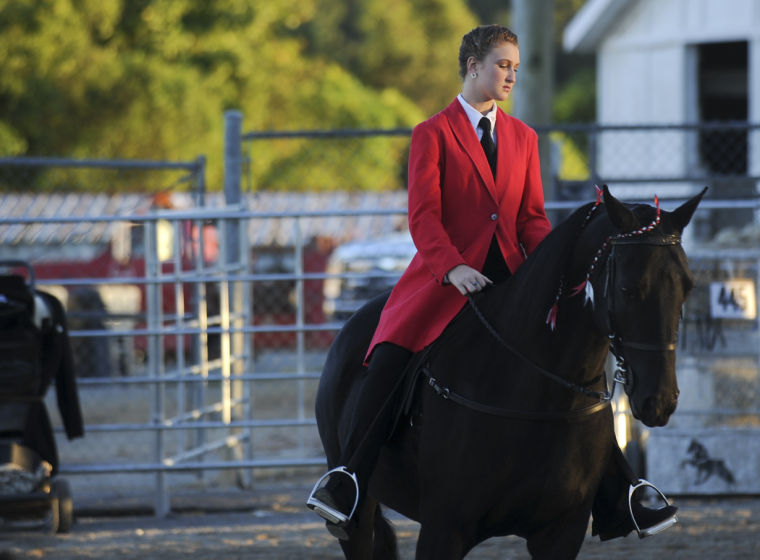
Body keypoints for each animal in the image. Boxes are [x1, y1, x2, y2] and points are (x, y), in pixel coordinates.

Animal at [314, 185, 706, 559]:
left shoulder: (561, 533)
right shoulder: (443, 530)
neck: (539, 395)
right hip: (359, 515)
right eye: (628, 289)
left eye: (688, 286)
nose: (660, 401)